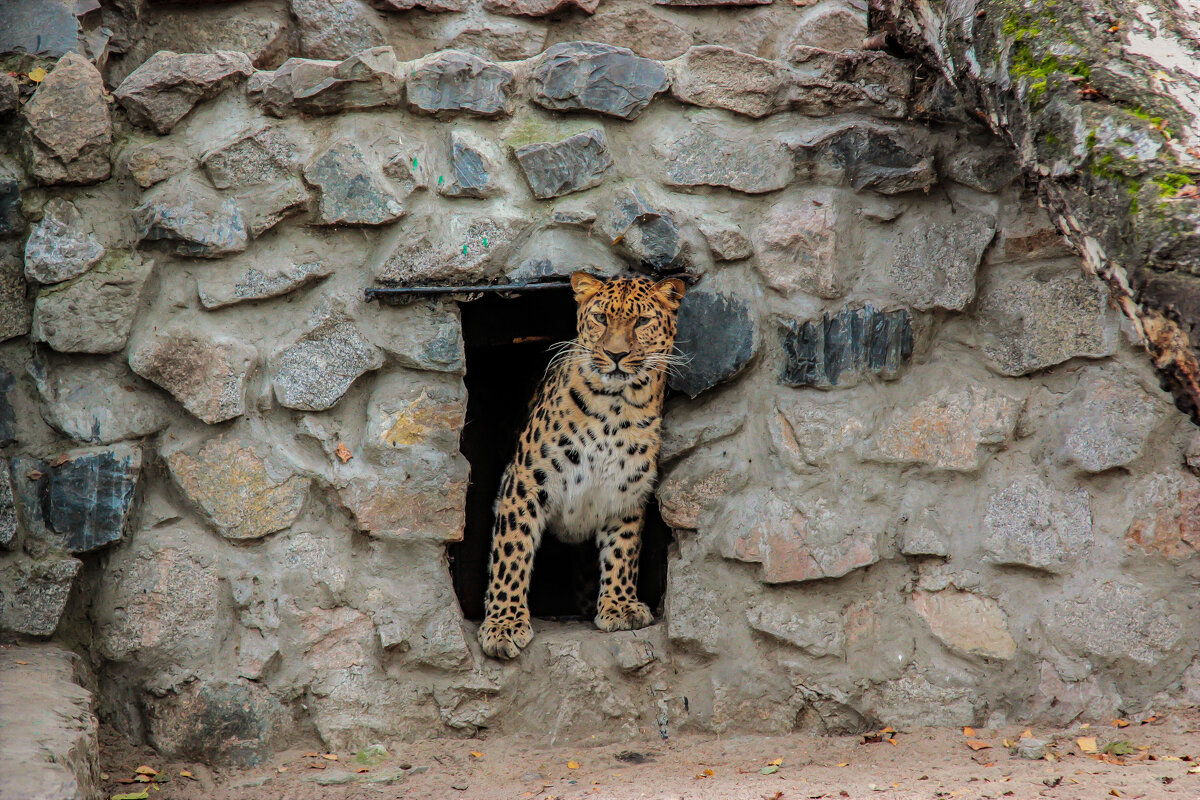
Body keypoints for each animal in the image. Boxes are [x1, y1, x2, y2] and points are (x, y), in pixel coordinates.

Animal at [475, 272, 686, 662]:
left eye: (641, 322)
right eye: (601, 318)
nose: (616, 354)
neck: (616, 409)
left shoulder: (626, 491)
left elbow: (623, 550)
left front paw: (620, 606)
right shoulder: (524, 482)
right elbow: (512, 552)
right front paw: (503, 625)